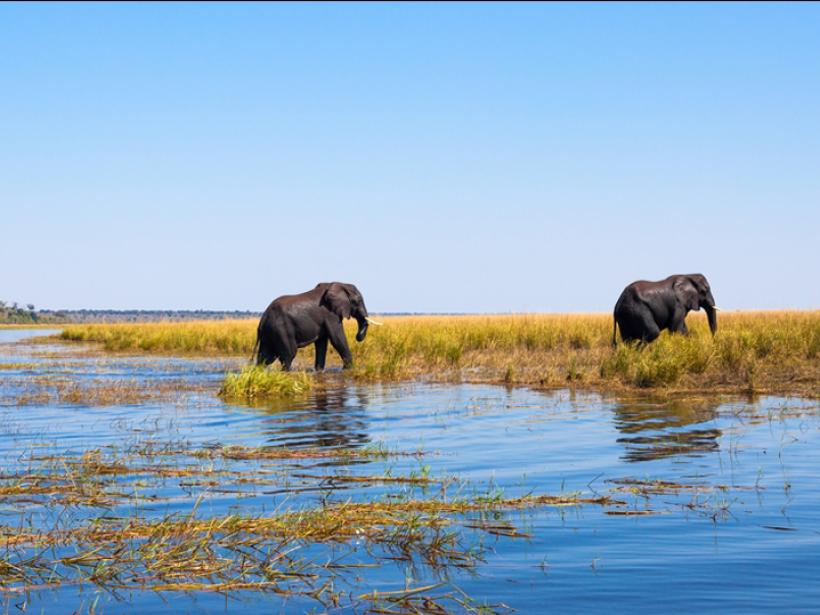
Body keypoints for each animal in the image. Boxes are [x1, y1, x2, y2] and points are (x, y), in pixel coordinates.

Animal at [253, 282, 382, 370]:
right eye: (358, 300)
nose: (358, 337)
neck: (339, 284)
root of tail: (263, 318)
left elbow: (322, 343)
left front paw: (319, 370)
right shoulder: (330, 314)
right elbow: (337, 339)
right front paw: (349, 369)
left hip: (269, 332)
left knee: (265, 357)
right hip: (281, 329)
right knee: (288, 355)